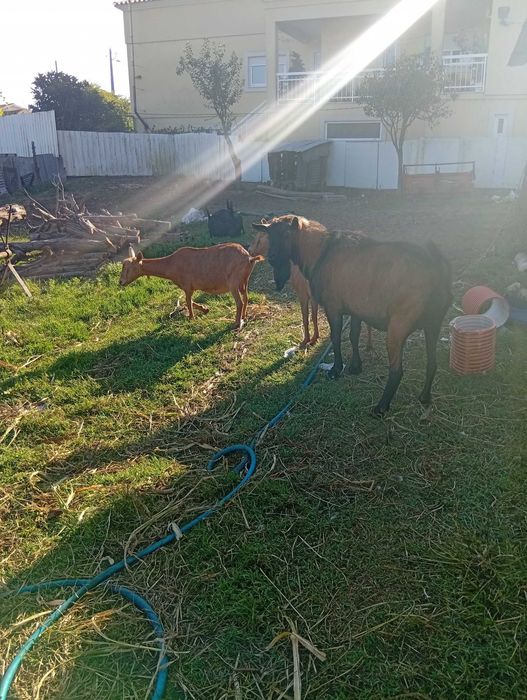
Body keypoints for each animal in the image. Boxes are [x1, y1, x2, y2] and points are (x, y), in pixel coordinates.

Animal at [119, 244, 263, 329]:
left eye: (128, 267)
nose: (120, 282)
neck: (171, 265)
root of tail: (249, 258)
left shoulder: (187, 285)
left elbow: (187, 301)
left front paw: (191, 318)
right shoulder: (189, 287)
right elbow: (189, 301)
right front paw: (205, 309)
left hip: (233, 282)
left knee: (239, 302)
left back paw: (236, 323)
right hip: (244, 281)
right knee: (246, 298)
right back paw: (244, 316)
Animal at [252, 215, 451, 415]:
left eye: (287, 234)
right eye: (270, 234)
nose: (272, 257)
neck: (320, 252)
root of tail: (436, 267)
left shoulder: (333, 307)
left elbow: (336, 337)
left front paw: (336, 370)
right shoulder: (356, 309)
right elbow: (353, 336)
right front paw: (355, 367)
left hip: (399, 325)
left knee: (397, 370)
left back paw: (381, 407)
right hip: (434, 323)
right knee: (432, 363)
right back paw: (425, 397)